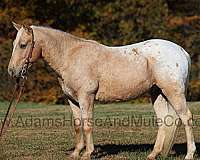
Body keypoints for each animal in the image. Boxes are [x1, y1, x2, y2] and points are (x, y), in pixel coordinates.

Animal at [7, 22, 195, 160]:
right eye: (14, 44)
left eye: (23, 45)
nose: (12, 71)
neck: (71, 57)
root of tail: (182, 51)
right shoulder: (72, 100)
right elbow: (78, 126)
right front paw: (75, 153)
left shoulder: (86, 98)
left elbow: (87, 125)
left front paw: (87, 154)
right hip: (157, 93)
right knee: (163, 121)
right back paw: (153, 154)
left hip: (173, 93)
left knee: (186, 117)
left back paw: (189, 154)